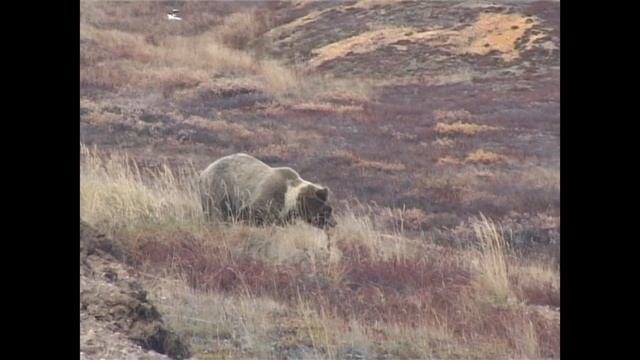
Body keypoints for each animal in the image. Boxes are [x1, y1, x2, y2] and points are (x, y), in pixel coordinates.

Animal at [199, 153, 336, 228]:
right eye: (327, 210)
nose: (333, 224)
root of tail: (204, 171)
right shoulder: (266, 198)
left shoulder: (283, 215)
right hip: (219, 190)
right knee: (217, 213)